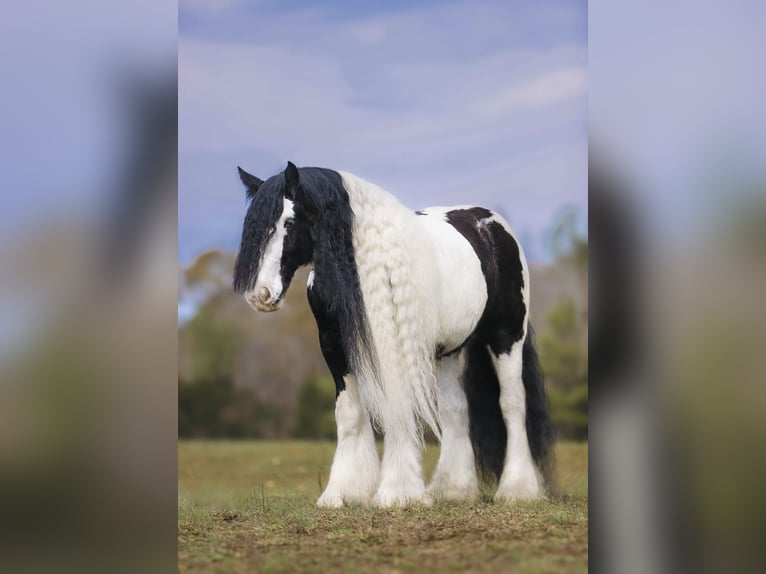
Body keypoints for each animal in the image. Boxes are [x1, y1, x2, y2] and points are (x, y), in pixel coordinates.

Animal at [231, 162, 556, 508]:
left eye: (289, 222)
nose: (261, 296)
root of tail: (490, 223)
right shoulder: (334, 346)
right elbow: (349, 414)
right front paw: (342, 492)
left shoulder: (393, 345)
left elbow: (396, 410)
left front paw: (397, 493)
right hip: (447, 352)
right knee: (455, 409)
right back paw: (452, 489)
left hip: (507, 336)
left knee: (512, 403)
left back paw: (517, 490)